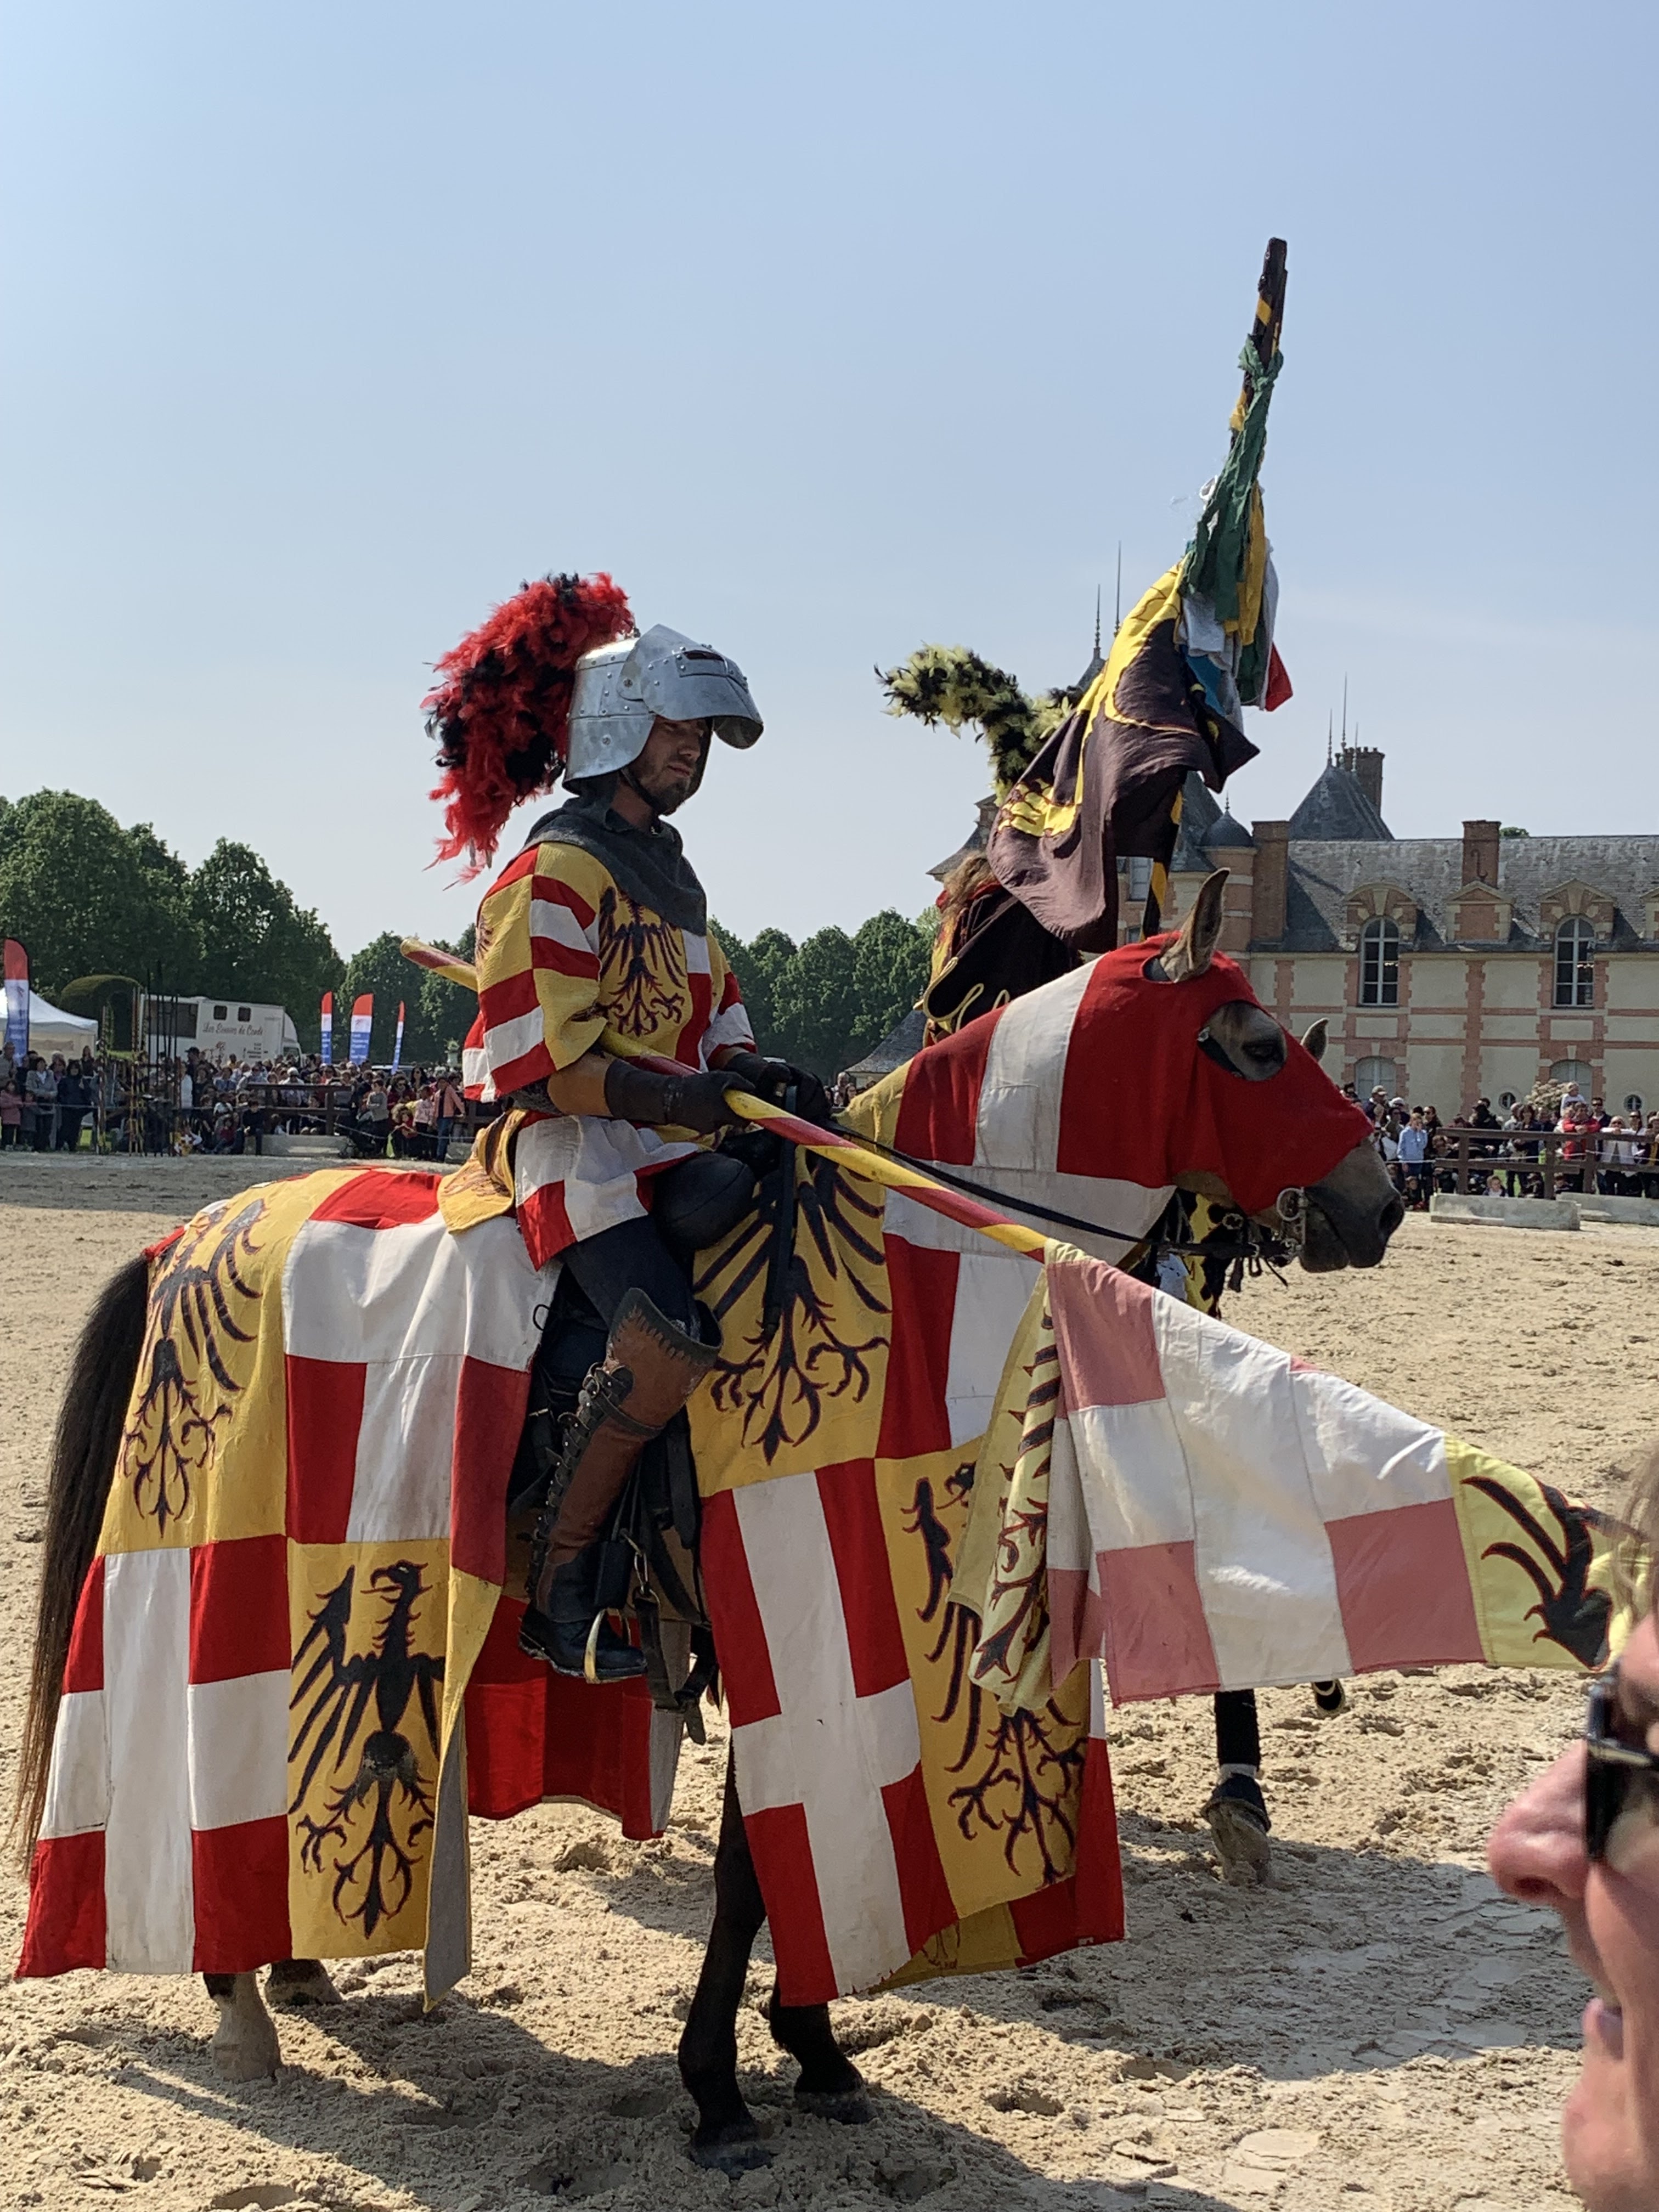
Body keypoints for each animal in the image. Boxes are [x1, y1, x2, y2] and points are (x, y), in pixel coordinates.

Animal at [15, 875, 1401, 2173]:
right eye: (1256, 1047)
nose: (1378, 1202)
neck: (919, 1249)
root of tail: (197, 1229)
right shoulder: (777, 1604)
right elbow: (747, 1873)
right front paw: (725, 2086)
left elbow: (766, 1859)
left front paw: (808, 2049)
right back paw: (238, 1999)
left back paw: (297, 1964)